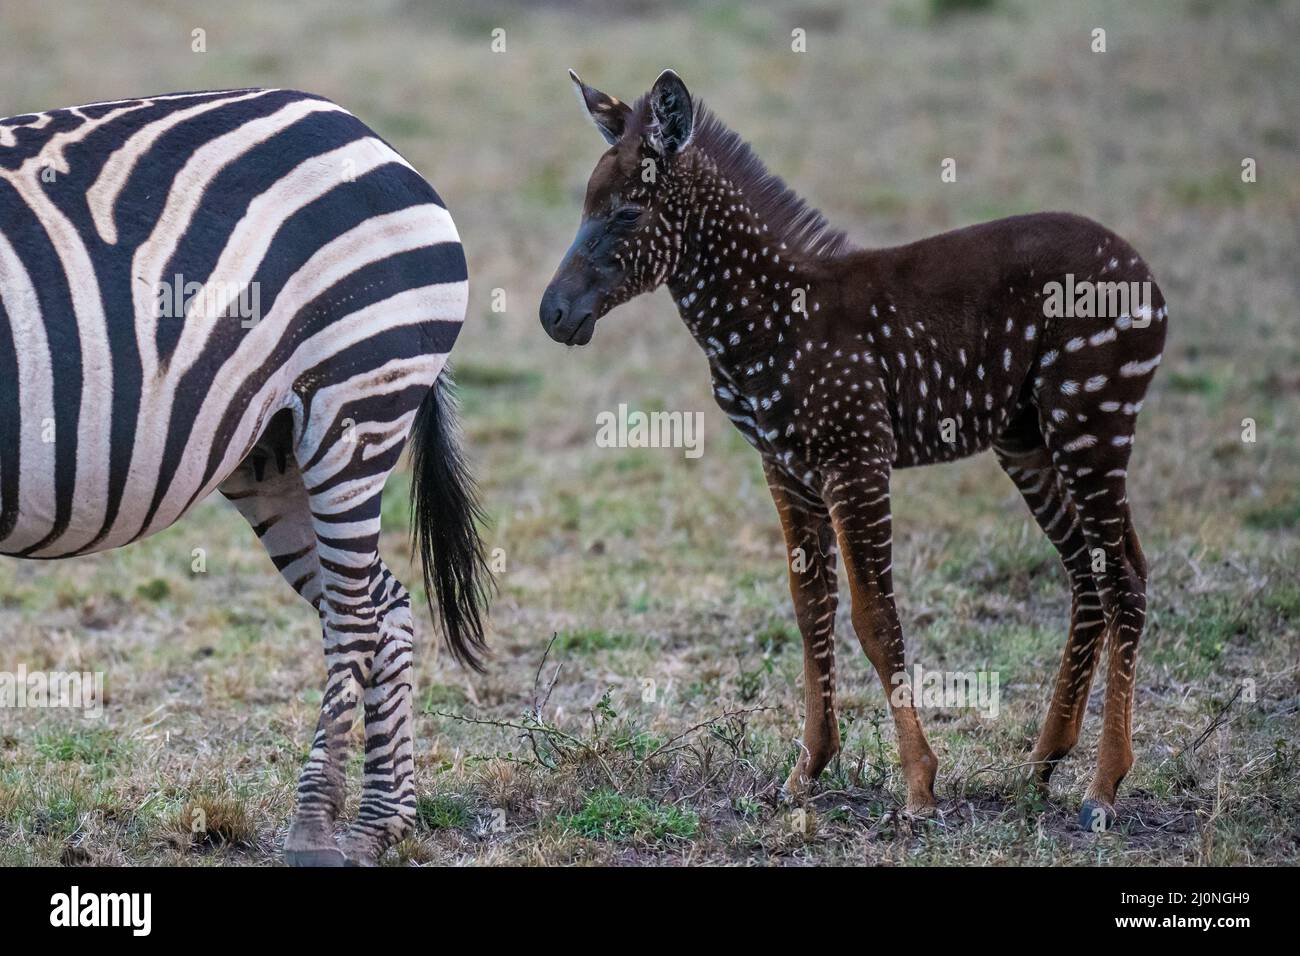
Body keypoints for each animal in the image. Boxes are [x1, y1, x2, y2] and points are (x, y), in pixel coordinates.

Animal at [0, 89, 488, 868]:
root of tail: (360, 129)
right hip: (272, 450)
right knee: (383, 605)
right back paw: (380, 824)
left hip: (354, 401)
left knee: (354, 617)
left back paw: (315, 830)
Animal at [538, 72, 1170, 832]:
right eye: (585, 205)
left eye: (629, 211)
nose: (552, 314)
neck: (766, 320)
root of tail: (1149, 281)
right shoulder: (786, 467)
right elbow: (811, 606)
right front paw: (806, 771)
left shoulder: (856, 455)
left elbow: (875, 617)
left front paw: (920, 786)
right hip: (1030, 440)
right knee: (1090, 573)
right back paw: (1046, 761)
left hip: (1090, 420)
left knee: (1123, 578)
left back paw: (1102, 788)